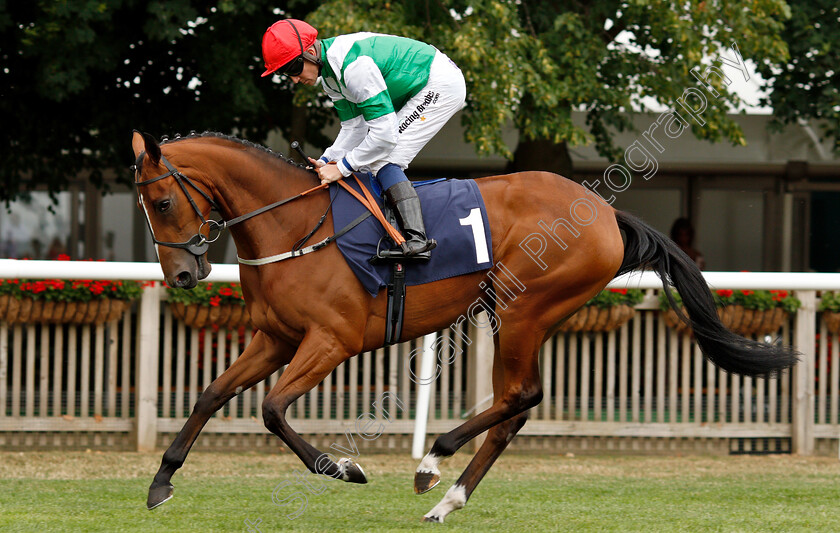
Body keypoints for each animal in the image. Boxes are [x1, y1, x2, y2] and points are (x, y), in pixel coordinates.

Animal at [130, 131, 796, 520]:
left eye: (161, 202)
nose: (183, 274)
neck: (295, 225)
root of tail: (607, 213)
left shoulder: (331, 341)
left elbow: (271, 409)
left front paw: (344, 468)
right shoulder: (277, 337)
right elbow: (212, 394)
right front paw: (161, 483)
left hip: (524, 309)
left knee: (522, 395)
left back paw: (434, 461)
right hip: (518, 315)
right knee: (515, 405)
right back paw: (449, 495)